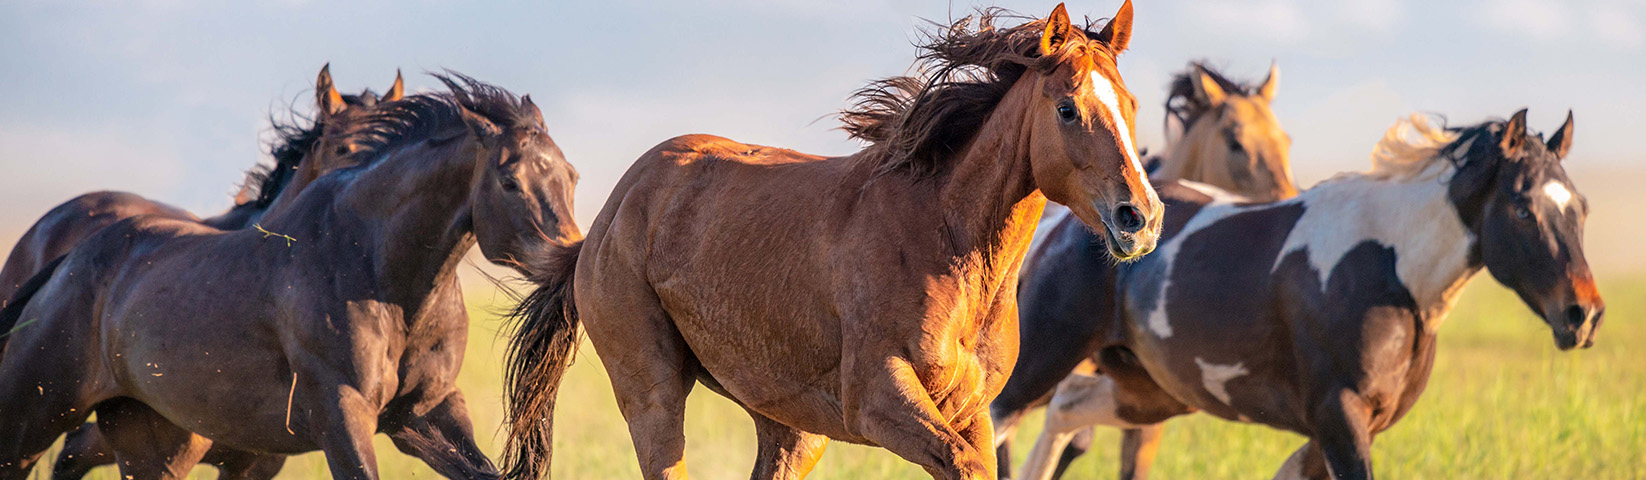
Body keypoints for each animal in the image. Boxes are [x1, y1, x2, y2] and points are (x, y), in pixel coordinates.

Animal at [0, 72, 580, 480]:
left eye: (571, 175)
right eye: (509, 180)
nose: (571, 255)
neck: (378, 272)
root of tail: (68, 261)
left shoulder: (426, 412)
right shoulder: (341, 413)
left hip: (146, 439)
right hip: (34, 413)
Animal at [501, 4, 1158, 479]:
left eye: (1130, 103)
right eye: (1068, 108)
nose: (1141, 217)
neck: (946, 242)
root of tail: (609, 215)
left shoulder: (972, 411)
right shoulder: (876, 399)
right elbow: (964, 464)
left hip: (791, 424)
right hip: (652, 392)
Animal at [1011, 110, 1602, 480]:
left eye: (1580, 205)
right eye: (1523, 208)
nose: (1583, 315)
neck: (1390, 272)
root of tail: (1072, 222)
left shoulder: (1344, 428)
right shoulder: (1340, 417)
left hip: (1154, 391)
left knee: (1066, 412)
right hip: (1042, 359)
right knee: (1006, 415)